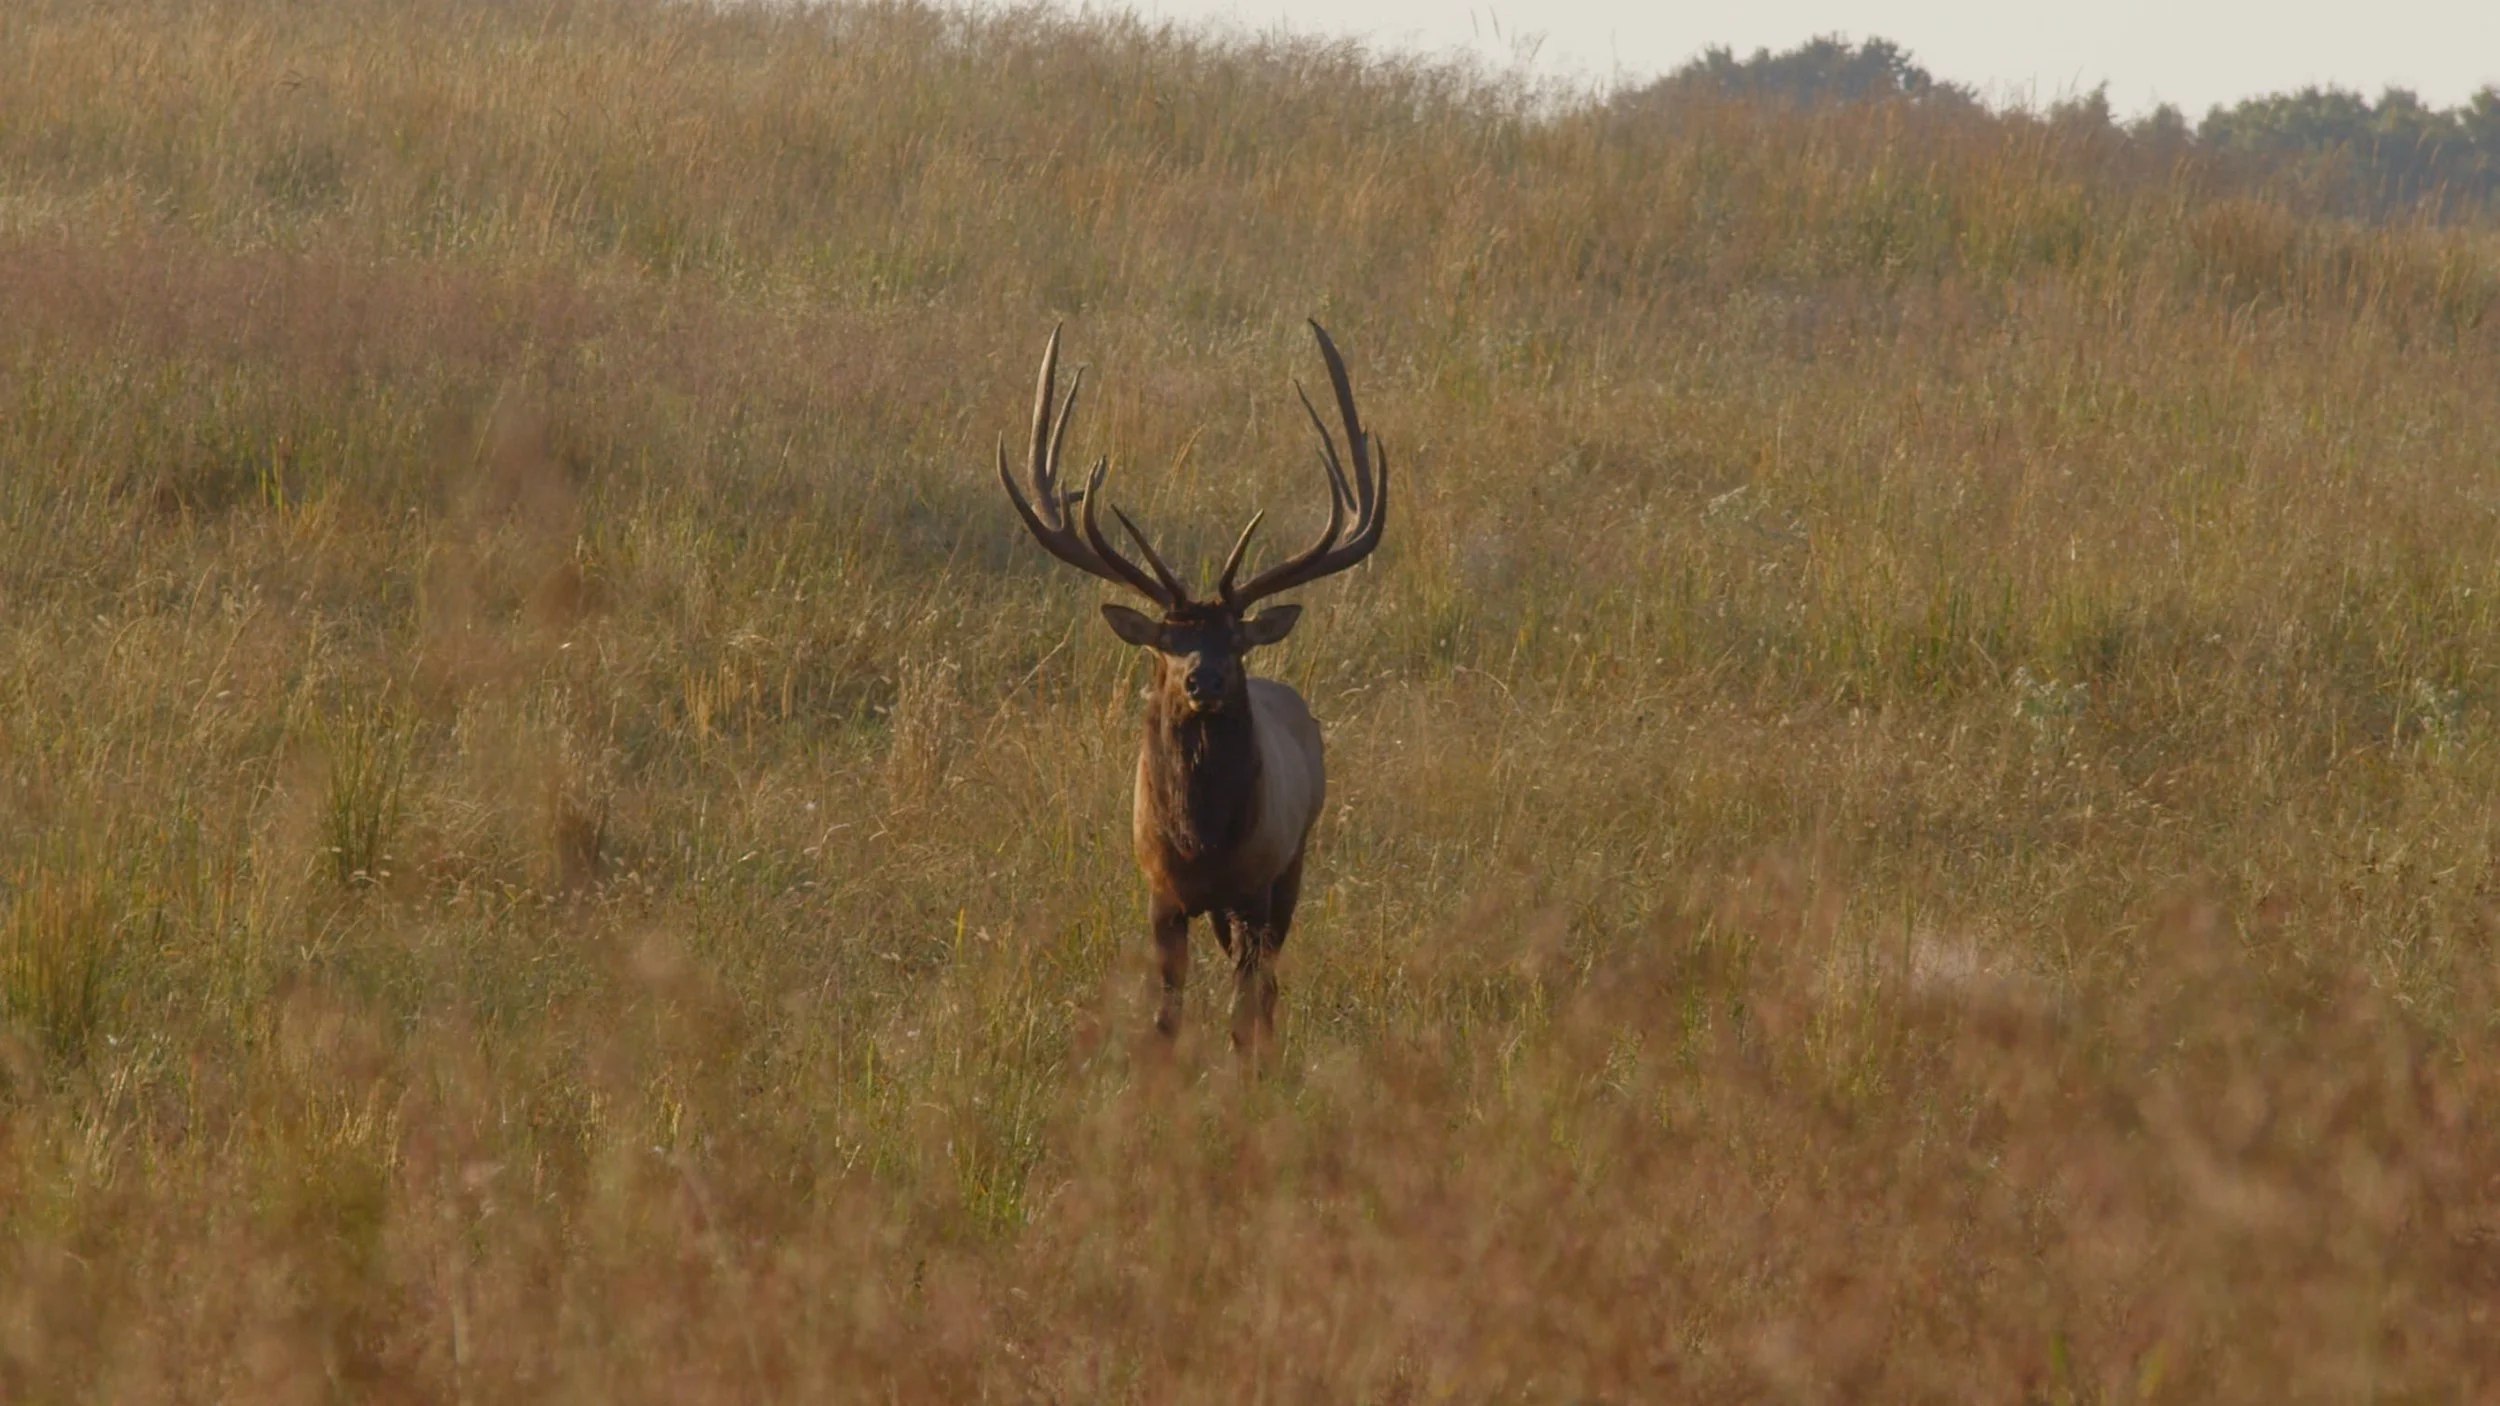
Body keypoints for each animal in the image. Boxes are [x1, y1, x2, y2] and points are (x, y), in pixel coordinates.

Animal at [996, 321, 1387, 1053]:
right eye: (1166, 643)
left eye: (1235, 641)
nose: (1205, 679)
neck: (1201, 843)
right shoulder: (1159, 891)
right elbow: (1165, 1015)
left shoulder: (1258, 879)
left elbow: (1243, 1011)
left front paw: (1245, 1068)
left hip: (1295, 861)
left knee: (1269, 985)